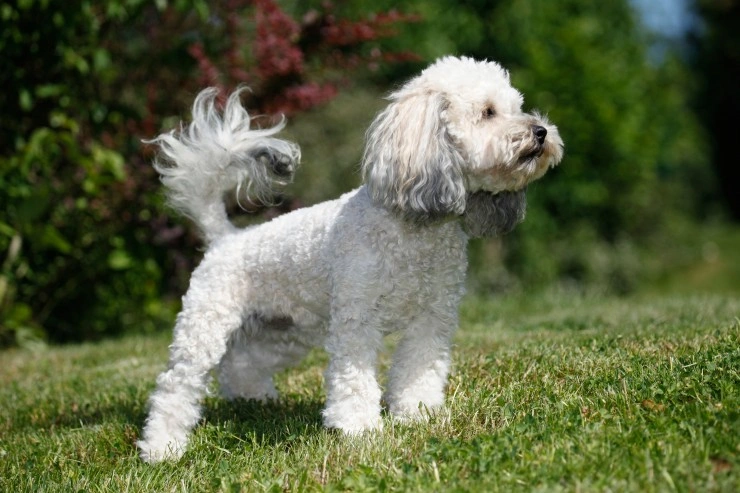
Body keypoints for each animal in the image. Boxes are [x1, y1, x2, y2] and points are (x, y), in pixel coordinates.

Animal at [137, 57, 560, 462]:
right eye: (488, 112)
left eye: (517, 107)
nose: (541, 131)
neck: (412, 231)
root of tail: (226, 238)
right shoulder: (357, 319)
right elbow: (354, 380)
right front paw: (360, 429)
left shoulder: (433, 317)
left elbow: (420, 369)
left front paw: (417, 413)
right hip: (204, 328)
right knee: (174, 388)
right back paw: (161, 448)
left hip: (281, 332)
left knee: (241, 365)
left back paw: (254, 399)